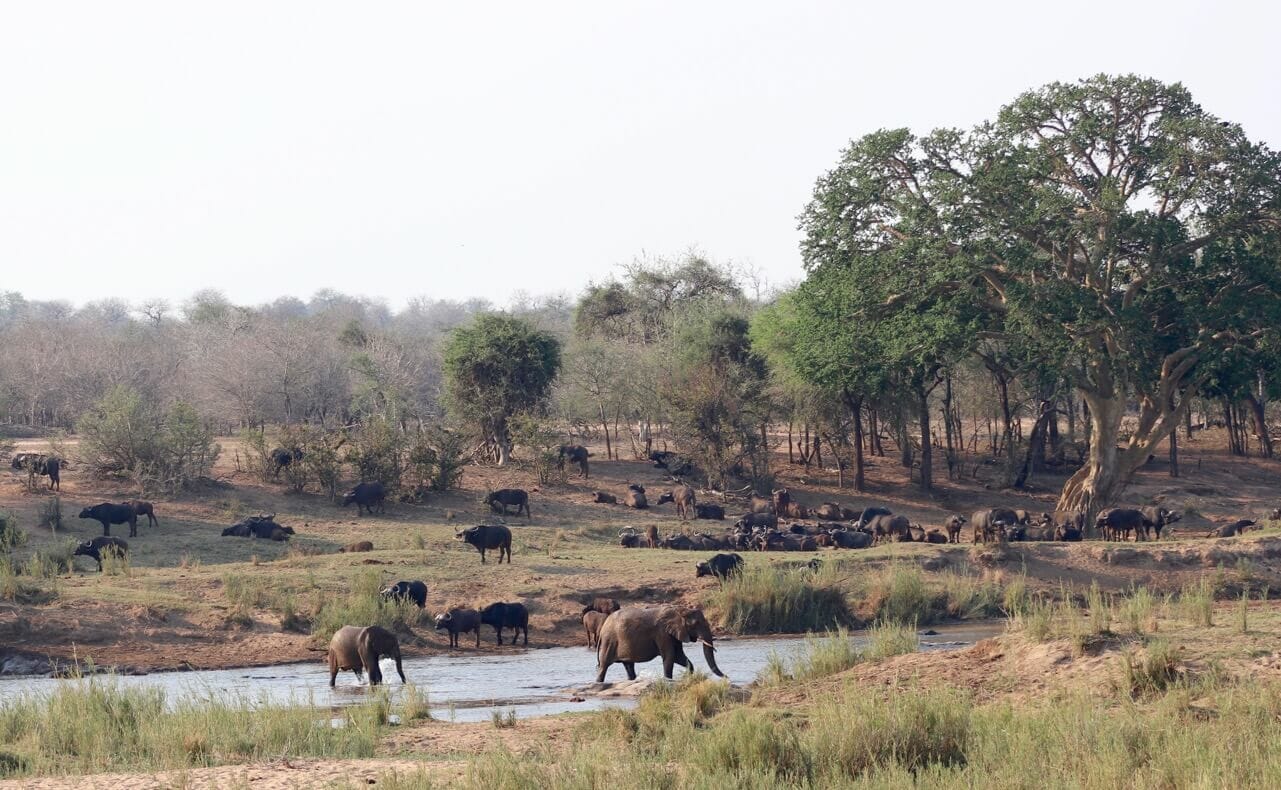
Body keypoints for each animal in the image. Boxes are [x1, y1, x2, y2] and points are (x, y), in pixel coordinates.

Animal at [596, 606, 727, 681]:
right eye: (696, 623)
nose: (727, 677)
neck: (679, 611)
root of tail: (602, 629)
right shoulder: (662, 633)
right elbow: (670, 657)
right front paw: (668, 680)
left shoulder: (674, 634)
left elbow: (679, 656)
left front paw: (689, 676)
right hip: (609, 641)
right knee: (603, 666)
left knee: (628, 666)